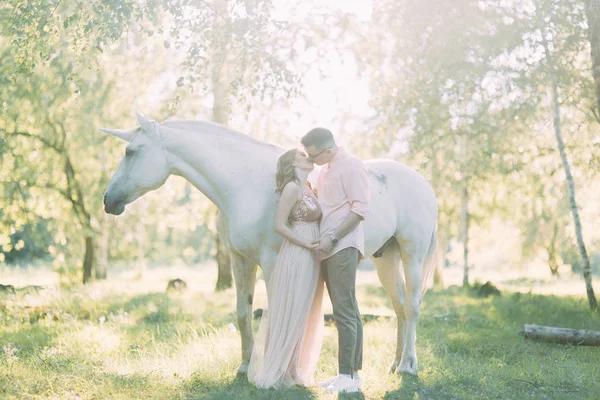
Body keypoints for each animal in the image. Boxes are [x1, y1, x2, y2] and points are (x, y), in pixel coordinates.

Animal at [102, 111, 440, 376]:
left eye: (130, 152)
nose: (108, 200)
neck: (244, 185)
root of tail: (423, 183)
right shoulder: (240, 260)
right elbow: (243, 312)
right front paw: (244, 367)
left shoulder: (272, 262)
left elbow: (280, 313)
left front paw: (276, 370)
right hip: (387, 260)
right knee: (399, 307)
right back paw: (394, 364)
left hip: (411, 255)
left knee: (412, 307)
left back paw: (408, 366)